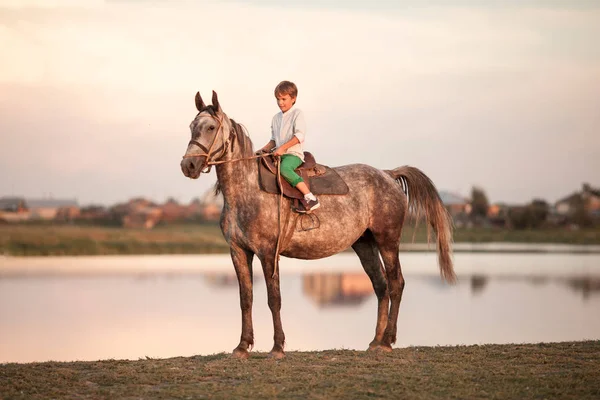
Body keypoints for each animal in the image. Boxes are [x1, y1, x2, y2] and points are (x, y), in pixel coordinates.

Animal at [179, 91, 454, 360]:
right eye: (192, 126)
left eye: (211, 127)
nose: (188, 165)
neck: (246, 190)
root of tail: (388, 174)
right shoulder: (238, 251)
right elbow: (245, 298)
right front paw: (242, 346)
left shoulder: (268, 253)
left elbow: (273, 299)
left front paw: (277, 347)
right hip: (364, 245)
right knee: (381, 285)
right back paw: (375, 341)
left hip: (388, 241)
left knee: (396, 284)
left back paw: (387, 341)